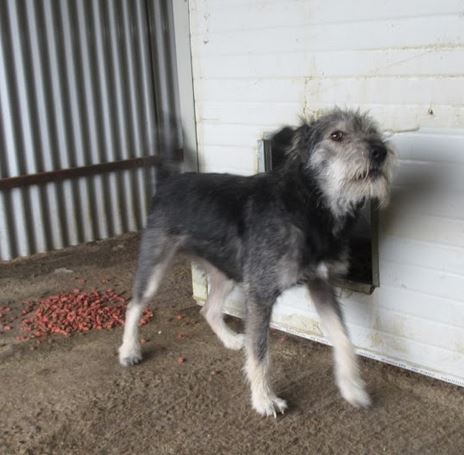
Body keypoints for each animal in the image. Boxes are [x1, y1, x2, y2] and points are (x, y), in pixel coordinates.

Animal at [118, 108, 396, 418]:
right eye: (337, 135)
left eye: (373, 132)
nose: (380, 151)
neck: (308, 206)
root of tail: (168, 182)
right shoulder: (261, 294)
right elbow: (260, 351)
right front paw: (264, 399)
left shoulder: (321, 284)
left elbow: (343, 337)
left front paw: (352, 388)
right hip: (154, 267)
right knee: (134, 306)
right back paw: (129, 351)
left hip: (226, 273)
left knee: (209, 309)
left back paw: (229, 339)